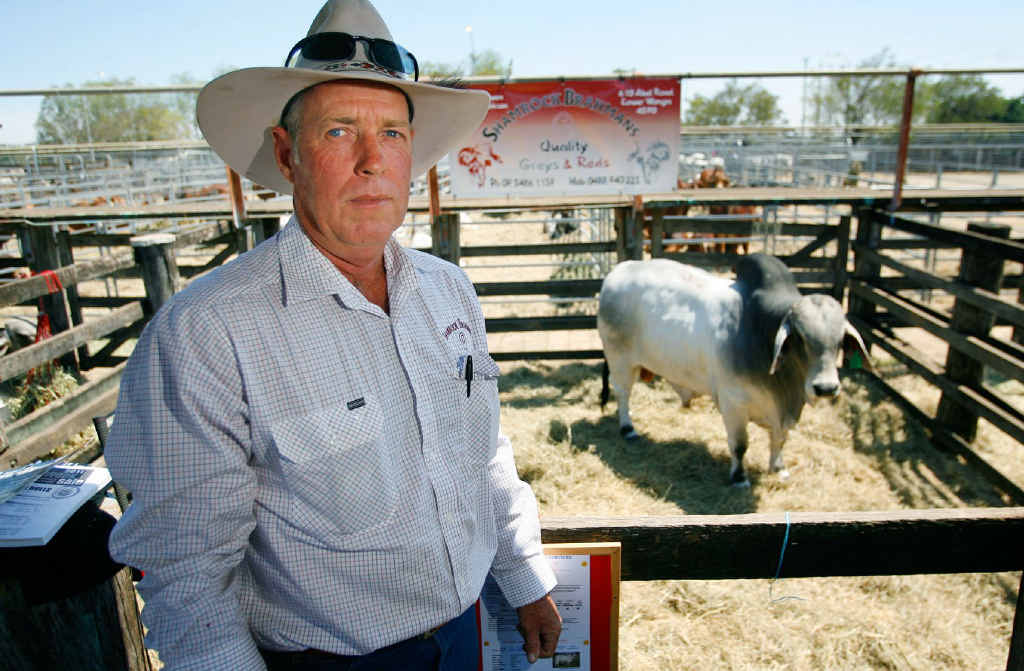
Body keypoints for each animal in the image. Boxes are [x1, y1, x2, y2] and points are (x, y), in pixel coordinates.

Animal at [597, 254, 874, 486]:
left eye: (840, 342)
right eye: (801, 339)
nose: (826, 388)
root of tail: (617, 272)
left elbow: (779, 439)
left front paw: (779, 468)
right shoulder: (733, 403)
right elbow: (740, 445)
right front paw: (739, 477)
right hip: (621, 360)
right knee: (623, 394)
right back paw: (628, 428)